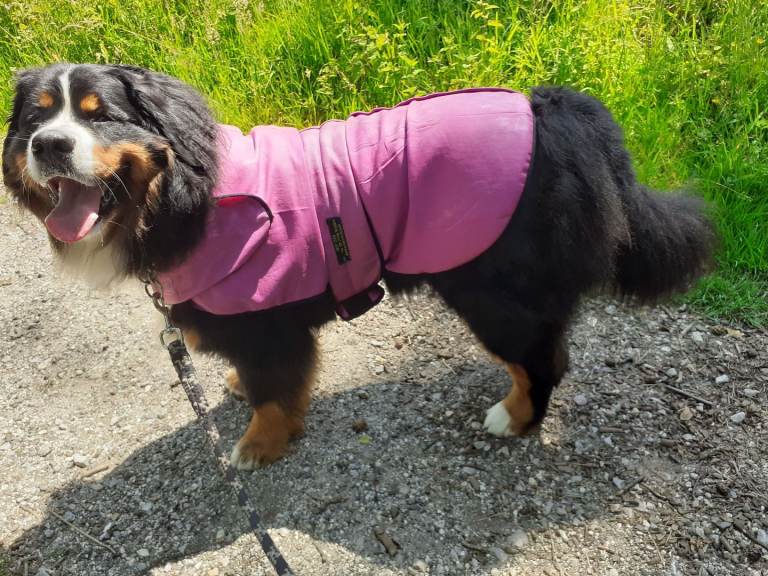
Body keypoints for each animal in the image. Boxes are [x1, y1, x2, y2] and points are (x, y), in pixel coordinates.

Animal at [2, 63, 715, 469]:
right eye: (35, 118)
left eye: (101, 116)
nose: (50, 144)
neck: (185, 199)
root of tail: (556, 111)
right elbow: (259, 380)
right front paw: (238, 391)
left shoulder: (269, 324)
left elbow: (273, 394)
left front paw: (258, 447)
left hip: (494, 291)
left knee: (543, 359)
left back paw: (513, 418)